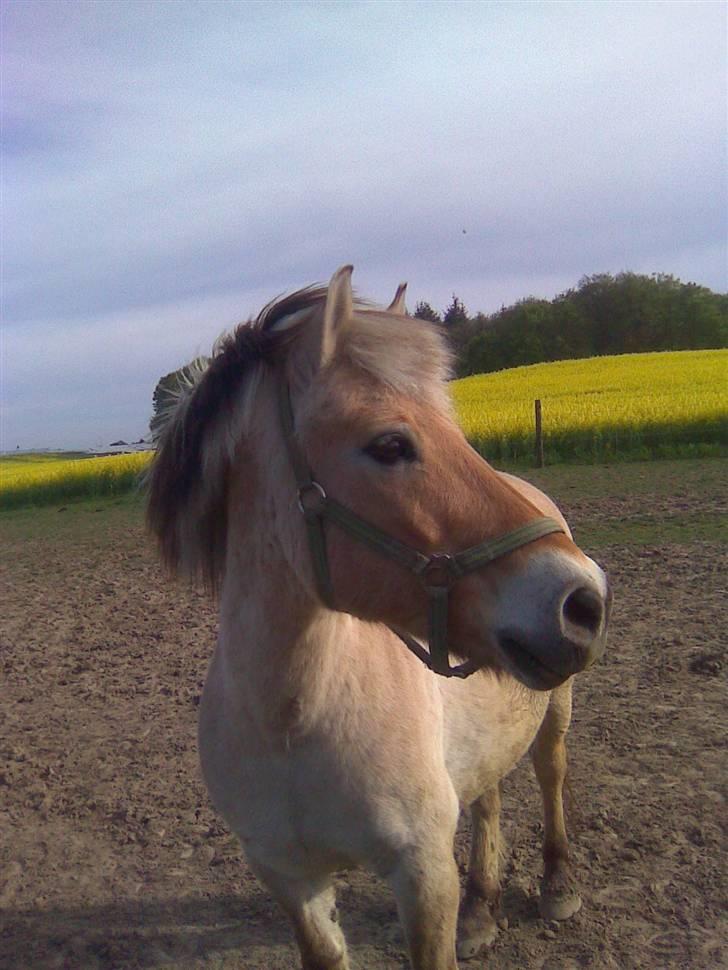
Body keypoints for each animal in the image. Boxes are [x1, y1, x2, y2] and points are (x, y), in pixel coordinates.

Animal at [146, 264, 608, 968]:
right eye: (390, 445)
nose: (584, 599)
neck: (294, 719)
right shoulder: (290, 879)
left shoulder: (422, 874)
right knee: (488, 795)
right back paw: (482, 907)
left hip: (555, 710)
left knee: (550, 773)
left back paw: (558, 884)